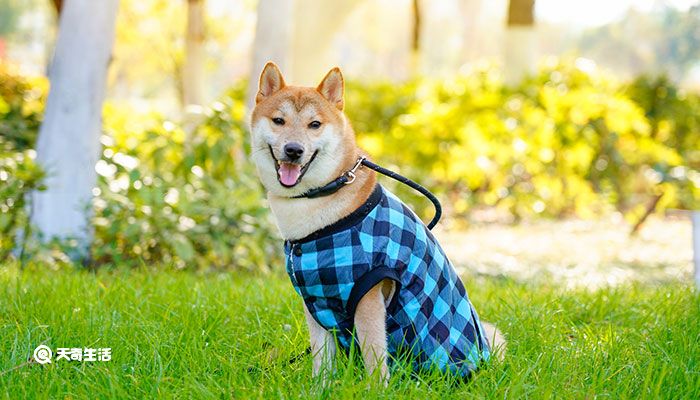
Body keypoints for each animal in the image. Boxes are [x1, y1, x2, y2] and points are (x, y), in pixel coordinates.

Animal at [249, 62, 506, 384]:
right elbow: (322, 360)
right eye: (279, 121)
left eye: (315, 125)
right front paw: (320, 389)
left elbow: (374, 354)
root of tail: (482, 356)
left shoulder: (368, 292)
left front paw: (374, 389)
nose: (294, 149)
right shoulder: (315, 295)